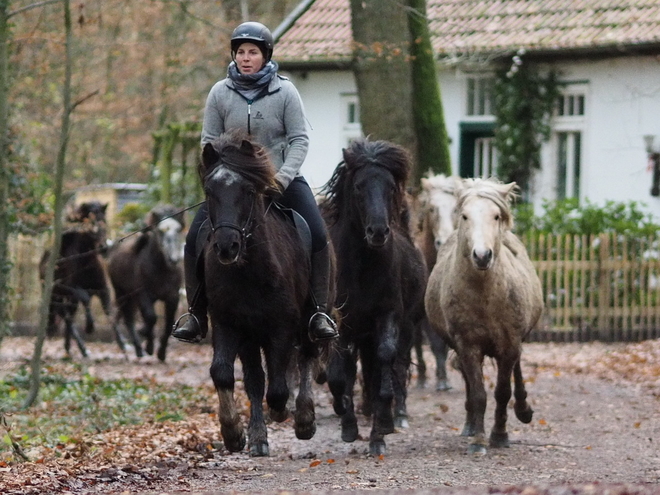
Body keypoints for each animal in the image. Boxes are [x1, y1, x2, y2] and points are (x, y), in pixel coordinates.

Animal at [39, 200, 111, 358]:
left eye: (104, 221)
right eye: (90, 223)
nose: (104, 248)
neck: (85, 261)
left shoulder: (100, 288)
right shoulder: (71, 288)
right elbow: (85, 297)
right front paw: (89, 327)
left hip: (67, 300)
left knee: (68, 318)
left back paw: (73, 348)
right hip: (55, 296)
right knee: (66, 317)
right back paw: (78, 347)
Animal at [108, 203, 184, 362]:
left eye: (179, 229)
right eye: (160, 230)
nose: (173, 259)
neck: (162, 270)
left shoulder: (172, 296)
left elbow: (168, 322)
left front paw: (161, 353)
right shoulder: (143, 294)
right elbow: (151, 317)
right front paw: (147, 342)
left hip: (132, 298)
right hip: (122, 293)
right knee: (127, 319)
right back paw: (138, 349)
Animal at [200, 131, 336, 458]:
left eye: (248, 190)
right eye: (209, 191)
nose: (226, 246)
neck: (248, 272)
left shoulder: (281, 327)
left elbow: (279, 386)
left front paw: (283, 413)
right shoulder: (229, 324)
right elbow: (225, 373)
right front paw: (234, 433)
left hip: (309, 321)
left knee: (306, 358)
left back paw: (304, 419)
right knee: (256, 379)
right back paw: (259, 437)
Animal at [320, 138, 428, 456]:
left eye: (390, 187)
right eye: (358, 186)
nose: (378, 232)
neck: (363, 268)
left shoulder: (388, 315)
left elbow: (385, 365)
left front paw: (380, 433)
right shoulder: (341, 324)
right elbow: (340, 374)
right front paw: (348, 426)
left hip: (406, 327)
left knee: (396, 365)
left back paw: (394, 416)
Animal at [426, 178, 544, 458]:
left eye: (496, 216)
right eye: (465, 216)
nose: (482, 255)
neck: (485, 294)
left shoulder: (510, 343)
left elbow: (502, 391)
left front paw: (499, 435)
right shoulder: (467, 344)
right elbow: (479, 392)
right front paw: (478, 440)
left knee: (517, 370)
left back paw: (523, 409)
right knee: (471, 382)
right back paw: (470, 425)